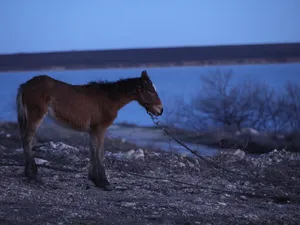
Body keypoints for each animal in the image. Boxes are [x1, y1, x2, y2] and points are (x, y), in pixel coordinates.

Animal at [15, 70, 164, 190]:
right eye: (150, 90)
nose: (160, 110)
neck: (109, 99)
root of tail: (25, 85)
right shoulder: (100, 129)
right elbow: (99, 152)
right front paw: (104, 182)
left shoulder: (93, 130)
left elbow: (93, 150)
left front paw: (95, 179)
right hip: (36, 115)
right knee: (27, 140)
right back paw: (33, 175)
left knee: (25, 139)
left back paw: (28, 173)